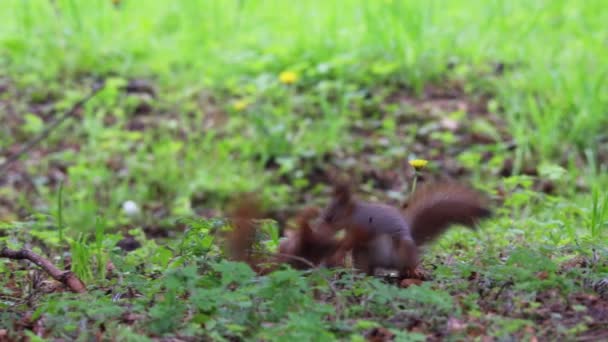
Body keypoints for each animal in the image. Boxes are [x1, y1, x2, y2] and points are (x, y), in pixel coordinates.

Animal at [320, 180, 492, 276]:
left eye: (330, 217)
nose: (320, 228)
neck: (354, 215)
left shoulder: (364, 227)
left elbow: (354, 239)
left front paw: (340, 246)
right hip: (363, 256)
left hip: (404, 249)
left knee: (408, 266)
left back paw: (415, 271)